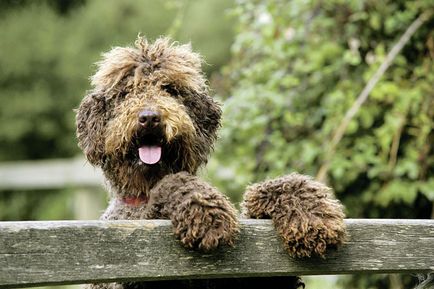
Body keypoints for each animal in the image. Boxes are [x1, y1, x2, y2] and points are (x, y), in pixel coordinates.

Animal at [75, 37, 346, 286]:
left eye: (170, 89)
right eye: (125, 93)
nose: (150, 117)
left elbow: (268, 190)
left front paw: (310, 212)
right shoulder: (135, 257)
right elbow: (174, 184)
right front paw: (205, 212)